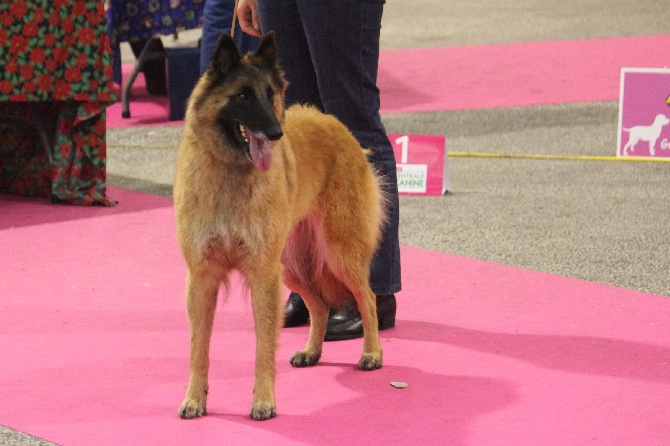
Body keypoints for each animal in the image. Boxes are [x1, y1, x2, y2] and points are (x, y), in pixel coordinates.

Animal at [173, 33, 388, 420]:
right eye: (243, 96)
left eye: (269, 93)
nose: (275, 133)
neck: (230, 172)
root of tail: (336, 124)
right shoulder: (202, 277)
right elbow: (199, 347)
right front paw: (195, 399)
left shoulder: (262, 276)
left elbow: (263, 346)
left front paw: (263, 400)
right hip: (290, 267)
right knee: (319, 304)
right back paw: (312, 351)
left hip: (338, 253)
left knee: (367, 298)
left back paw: (372, 353)